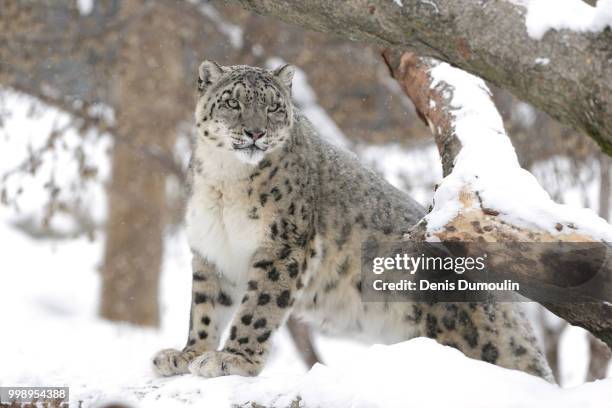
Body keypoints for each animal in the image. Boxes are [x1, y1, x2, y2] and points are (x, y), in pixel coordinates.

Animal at [151, 60, 552, 382]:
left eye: (274, 107)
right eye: (232, 103)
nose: (255, 132)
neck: (224, 180)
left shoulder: (283, 246)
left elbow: (257, 309)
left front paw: (233, 360)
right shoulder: (211, 249)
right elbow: (205, 308)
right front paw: (188, 354)